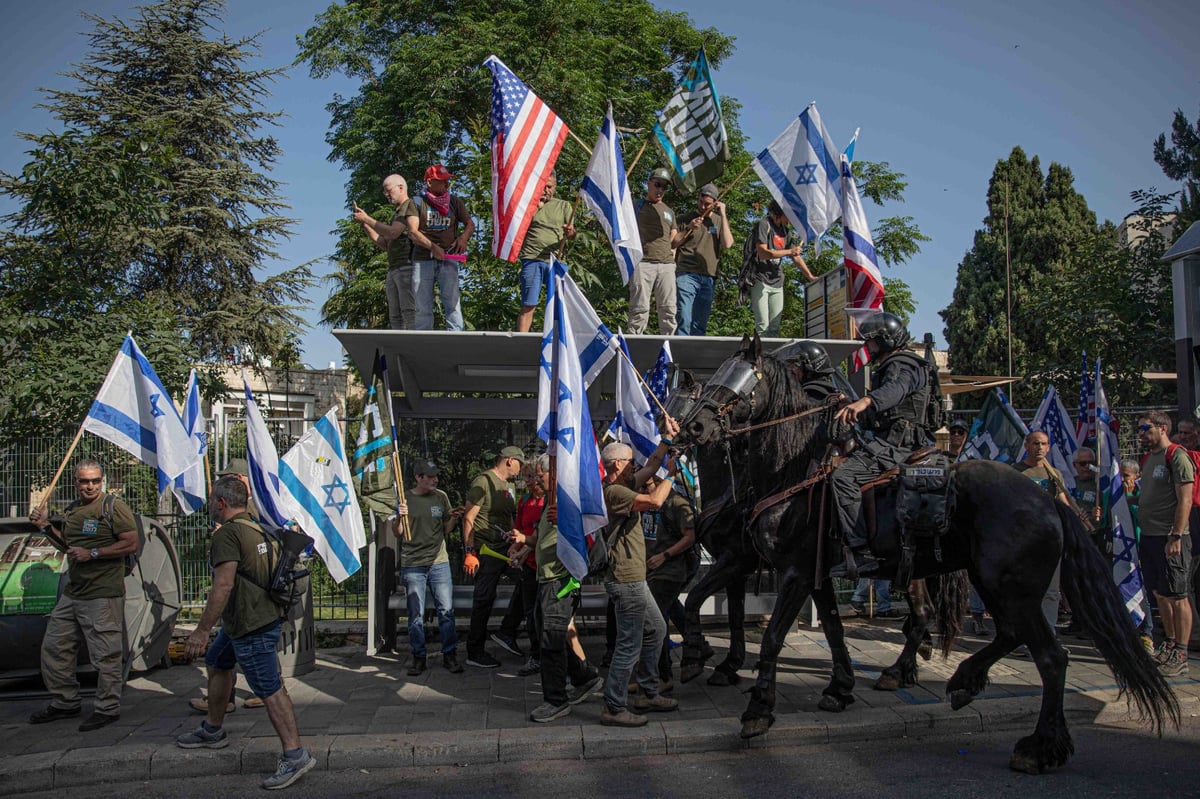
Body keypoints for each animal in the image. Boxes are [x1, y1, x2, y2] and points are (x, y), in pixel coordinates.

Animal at [681, 338, 1176, 772]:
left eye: (741, 379)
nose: (692, 428)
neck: (795, 471)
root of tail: (1048, 498)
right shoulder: (814, 574)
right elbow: (834, 631)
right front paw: (838, 688)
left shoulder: (793, 572)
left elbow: (769, 637)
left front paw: (755, 708)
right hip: (985, 580)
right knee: (987, 629)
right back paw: (955, 680)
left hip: (1010, 587)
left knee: (1050, 656)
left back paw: (1038, 746)